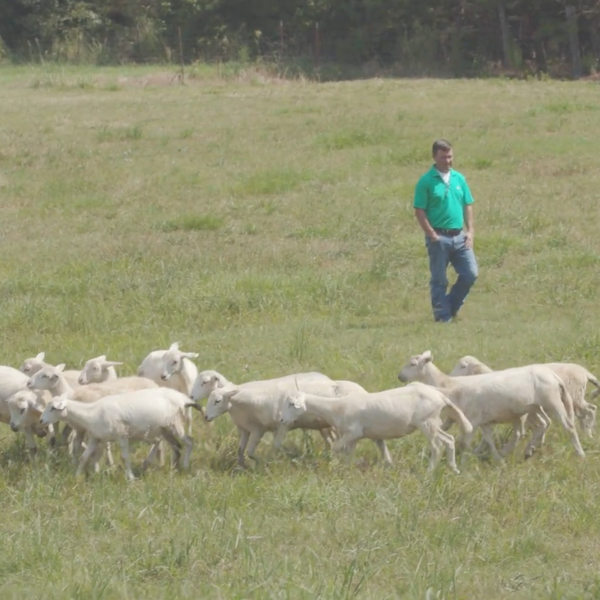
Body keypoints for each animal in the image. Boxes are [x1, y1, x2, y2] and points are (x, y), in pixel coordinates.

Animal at [40, 386, 204, 480]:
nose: (41, 420)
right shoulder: (95, 438)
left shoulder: (122, 436)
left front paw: (130, 477)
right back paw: (171, 469)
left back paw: (184, 466)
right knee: (175, 446)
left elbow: (125, 457)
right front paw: (76, 475)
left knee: (189, 442)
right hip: (165, 429)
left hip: (175, 424)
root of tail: (184, 398)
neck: (91, 413)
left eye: (53, 408)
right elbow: (84, 456)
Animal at [202, 376, 382, 468]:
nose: (206, 417)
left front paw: (276, 461)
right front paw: (244, 466)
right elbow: (243, 450)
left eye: (217, 401)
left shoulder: (280, 425)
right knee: (333, 442)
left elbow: (274, 446)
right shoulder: (251, 429)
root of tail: (362, 390)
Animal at [280, 384, 474, 474]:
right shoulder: (353, 437)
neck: (335, 408)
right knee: (449, 440)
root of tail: (440, 396)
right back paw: (454, 469)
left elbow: (336, 448)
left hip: (427, 423)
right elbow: (348, 454)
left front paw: (333, 466)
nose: (281, 419)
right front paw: (346, 470)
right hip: (432, 423)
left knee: (436, 446)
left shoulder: (353, 432)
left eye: (291, 404)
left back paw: (429, 472)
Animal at [398, 350, 584, 462]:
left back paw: (579, 454)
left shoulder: (472, 421)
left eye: (413, 364)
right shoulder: (479, 420)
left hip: (552, 402)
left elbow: (465, 442)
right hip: (534, 408)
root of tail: (552, 375)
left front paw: (463, 461)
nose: (400, 377)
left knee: (568, 426)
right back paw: (525, 451)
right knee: (541, 426)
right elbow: (487, 438)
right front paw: (495, 458)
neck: (449, 385)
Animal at [450, 356, 600, 436]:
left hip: (575, 397)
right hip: (576, 398)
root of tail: (585, 372)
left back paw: (588, 433)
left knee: (591, 409)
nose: (451, 377)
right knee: (586, 411)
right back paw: (585, 432)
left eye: (463, 366)